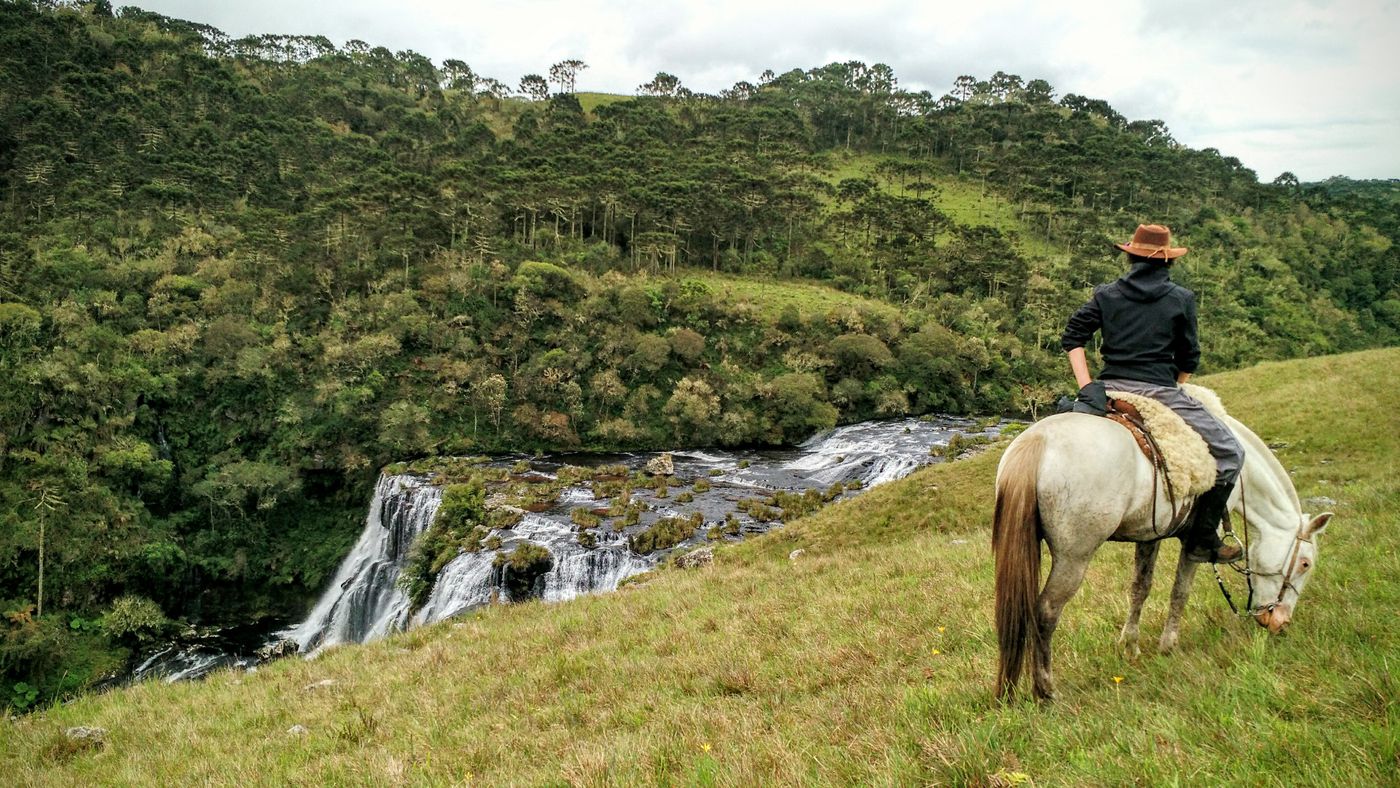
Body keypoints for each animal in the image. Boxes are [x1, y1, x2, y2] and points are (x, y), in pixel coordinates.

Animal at [996, 411, 1332, 699]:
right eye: (1305, 564)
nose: (1279, 623)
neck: (1244, 477)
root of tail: (1038, 441)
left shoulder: (1150, 535)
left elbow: (1140, 589)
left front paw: (1129, 645)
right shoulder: (1193, 542)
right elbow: (1180, 592)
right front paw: (1168, 646)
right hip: (1074, 558)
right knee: (1046, 613)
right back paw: (1046, 691)